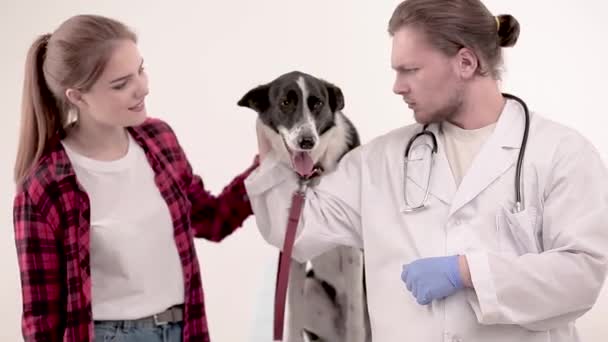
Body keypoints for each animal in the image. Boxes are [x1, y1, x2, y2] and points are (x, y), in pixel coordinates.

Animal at [238, 70, 370, 342]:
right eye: (285, 103)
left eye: (317, 103)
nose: (307, 141)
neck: (312, 175)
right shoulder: (293, 252)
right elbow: (291, 317)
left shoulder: (354, 252)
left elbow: (355, 322)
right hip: (313, 290)